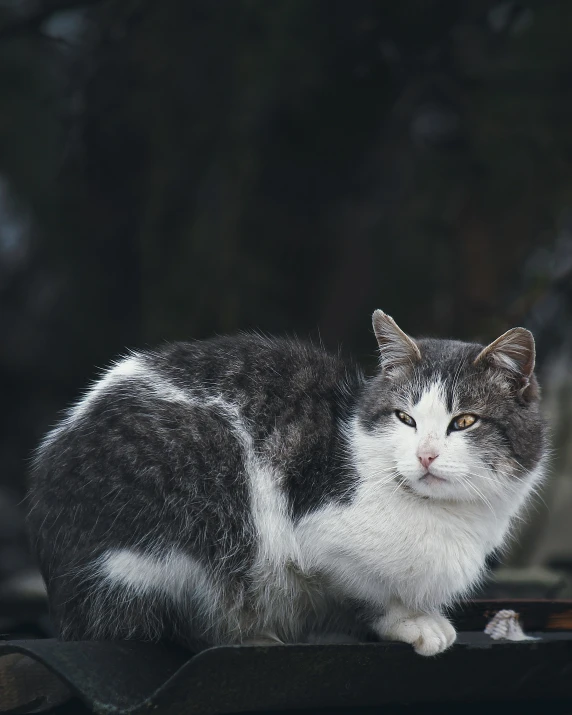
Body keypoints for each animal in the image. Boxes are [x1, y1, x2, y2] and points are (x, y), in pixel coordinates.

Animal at [26, 310, 544, 656]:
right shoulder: (321, 539)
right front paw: (410, 621)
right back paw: (250, 635)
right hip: (200, 499)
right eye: (405, 418)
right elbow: (366, 590)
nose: (426, 455)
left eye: (465, 421)